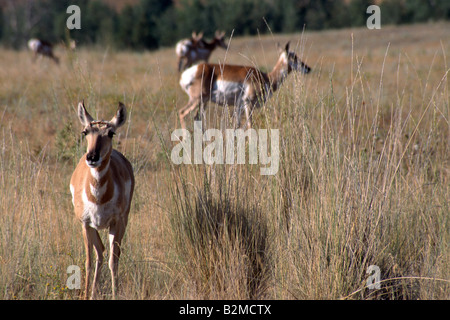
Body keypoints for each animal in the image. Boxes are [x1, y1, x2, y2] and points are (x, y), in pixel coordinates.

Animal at [69, 101, 134, 298]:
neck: (98, 197)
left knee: (108, 253)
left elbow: (114, 261)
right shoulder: (85, 223)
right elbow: (88, 262)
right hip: (93, 228)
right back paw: (92, 294)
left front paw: (115, 294)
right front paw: (85, 296)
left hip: (120, 223)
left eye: (111, 133)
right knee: (100, 252)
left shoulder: (117, 223)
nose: (92, 157)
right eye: (85, 132)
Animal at [178, 41, 312, 129]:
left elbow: (237, 125)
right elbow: (249, 125)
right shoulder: (248, 103)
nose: (308, 68)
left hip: (203, 102)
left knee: (196, 118)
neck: (266, 77)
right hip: (196, 100)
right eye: (294, 57)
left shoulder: (239, 107)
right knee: (182, 113)